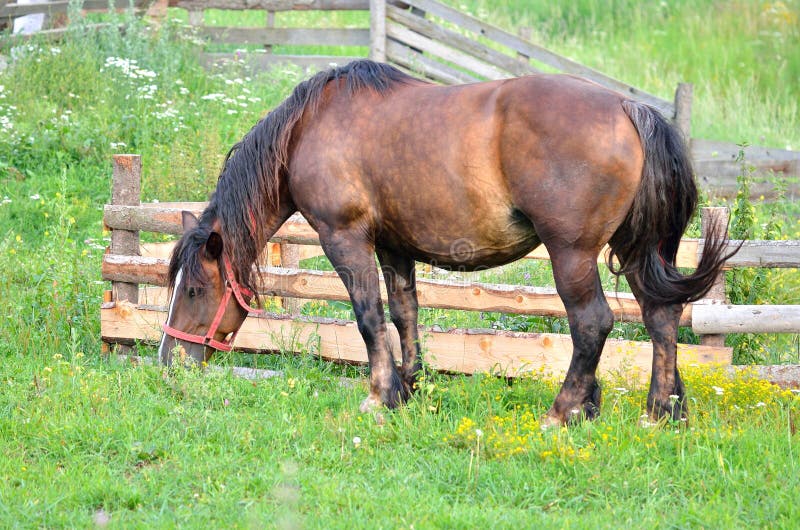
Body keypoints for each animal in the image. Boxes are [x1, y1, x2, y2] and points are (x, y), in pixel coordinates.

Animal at [159, 59, 736, 424]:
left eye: (193, 291)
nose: (168, 361)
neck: (310, 127)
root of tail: (627, 109)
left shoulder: (344, 239)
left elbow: (367, 316)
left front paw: (378, 397)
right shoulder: (393, 247)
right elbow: (403, 314)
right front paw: (407, 390)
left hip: (571, 253)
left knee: (593, 323)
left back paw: (563, 412)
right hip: (639, 250)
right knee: (661, 317)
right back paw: (661, 412)